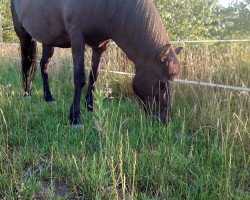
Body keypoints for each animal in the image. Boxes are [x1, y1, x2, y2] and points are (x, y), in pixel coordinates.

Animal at [10, 0, 183, 126]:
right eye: (161, 84)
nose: (165, 120)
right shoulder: (77, 38)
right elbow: (80, 78)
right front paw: (75, 118)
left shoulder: (100, 46)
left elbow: (94, 77)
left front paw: (90, 107)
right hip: (24, 36)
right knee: (26, 63)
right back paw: (27, 93)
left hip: (48, 41)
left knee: (43, 65)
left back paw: (49, 97)